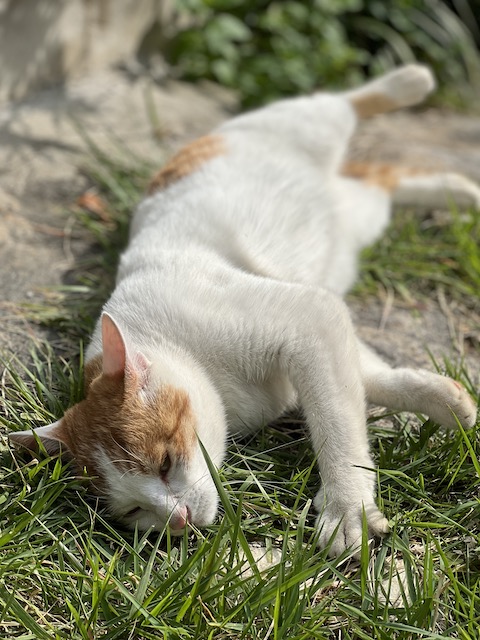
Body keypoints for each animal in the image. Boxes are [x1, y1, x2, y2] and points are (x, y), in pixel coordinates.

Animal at [9, 65, 479, 557]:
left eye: (164, 463)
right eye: (135, 512)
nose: (177, 519)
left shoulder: (307, 318)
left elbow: (336, 421)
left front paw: (347, 508)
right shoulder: (322, 331)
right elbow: (368, 377)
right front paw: (448, 400)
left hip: (308, 125)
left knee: (345, 104)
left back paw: (408, 83)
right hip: (363, 214)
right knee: (378, 178)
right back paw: (461, 191)